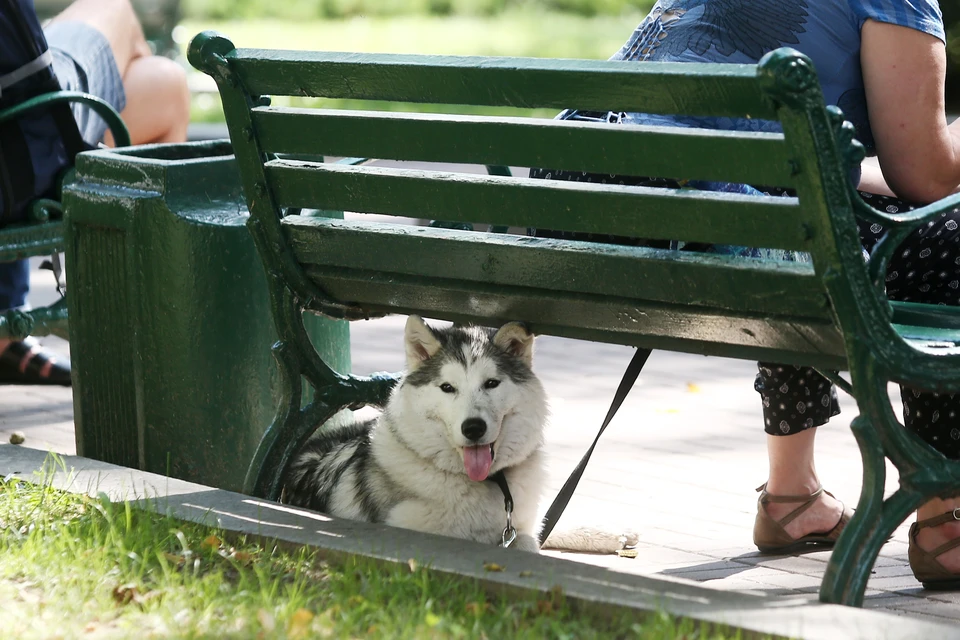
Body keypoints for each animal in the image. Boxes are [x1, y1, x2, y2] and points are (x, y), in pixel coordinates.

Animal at [282, 316, 632, 556]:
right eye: (447, 388)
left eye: (491, 383)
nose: (473, 428)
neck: (489, 482)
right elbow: (528, 541)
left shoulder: (516, 528)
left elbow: (531, 536)